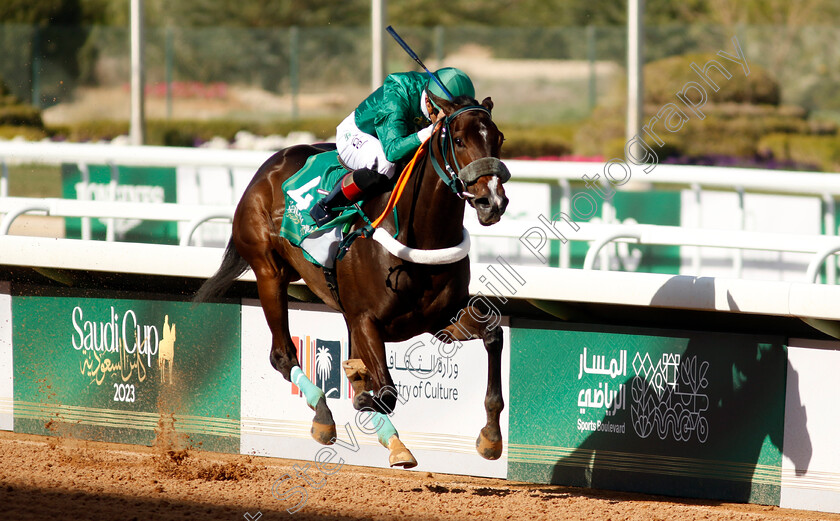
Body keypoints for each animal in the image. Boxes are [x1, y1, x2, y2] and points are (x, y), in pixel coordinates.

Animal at [196, 94, 508, 468]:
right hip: (269, 271)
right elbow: (384, 390)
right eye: (458, 140)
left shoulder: (439, 319)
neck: (418, 236)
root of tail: (269, 163)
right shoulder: (366, 320)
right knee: (283, 355)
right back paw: (324, 417)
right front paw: (360, 399)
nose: (493, 201)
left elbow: (493, 335)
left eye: (498, 139)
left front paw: (490, 437)